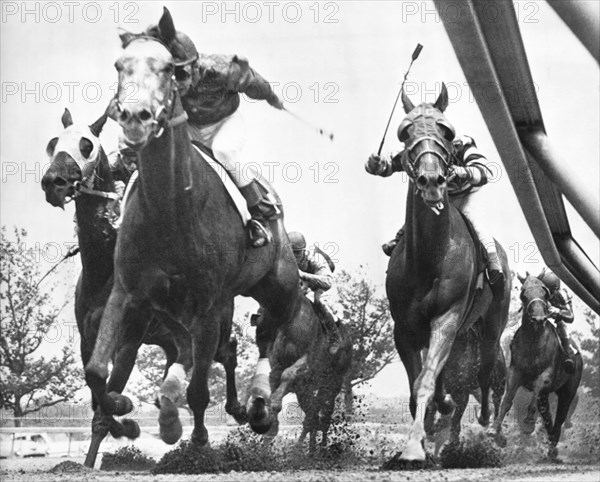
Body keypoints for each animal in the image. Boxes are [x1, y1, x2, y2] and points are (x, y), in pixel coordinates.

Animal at [84, 6, 304, 452]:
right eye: (119, 65)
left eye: (169, 67)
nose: (134, 118)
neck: (170, 212)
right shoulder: (128, 294)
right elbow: (98, 372)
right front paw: (123, 412)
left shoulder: (206, 306)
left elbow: (200, 389)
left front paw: (197, 436)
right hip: (178, 311)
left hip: (278, 288)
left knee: (270, 338)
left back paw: (259, 405)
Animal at [386, 84, 508, 462]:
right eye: (405, 131)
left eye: (447, 132)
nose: (431, 180)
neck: (429, 257)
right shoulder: (404, 327)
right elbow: (419, 385)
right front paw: (422, 435)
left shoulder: (448, 316)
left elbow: (427, 380)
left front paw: (414, 448)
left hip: (491, 326)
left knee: (485, 372)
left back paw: (486, 423)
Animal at [492, 274, 580, 460]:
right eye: (523, 294)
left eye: (545, 293)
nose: (539, 319)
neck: (533, 341)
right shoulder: (515, 372)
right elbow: (507, 400)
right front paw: (494, 429)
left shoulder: (546, 375)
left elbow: (537, 387)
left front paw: (528, 423)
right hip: (547, 396)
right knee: (548, 416)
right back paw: (550, 444)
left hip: (568, 391)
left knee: (560, 417)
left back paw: (552, 448)